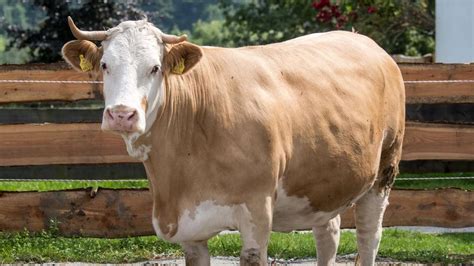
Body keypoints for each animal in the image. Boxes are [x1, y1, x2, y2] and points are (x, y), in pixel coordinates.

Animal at [62, 17, 404, 266]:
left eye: (155, 68)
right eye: (105, 65)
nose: (122, 114)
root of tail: (365, 42)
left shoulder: (257, 211)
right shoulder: (189, 227)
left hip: (385, 168)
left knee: (369, 236)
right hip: (323, 182)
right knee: (328, 233)